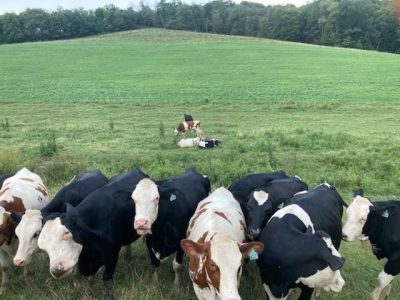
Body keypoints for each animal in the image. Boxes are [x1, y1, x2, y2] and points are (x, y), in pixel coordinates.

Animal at [37, 166, 149, 300]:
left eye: (67, 233)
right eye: (43, 246)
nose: (56, 270)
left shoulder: (112, 256)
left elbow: (107, 280)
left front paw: (108, 296)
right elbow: (90, 278)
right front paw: (88, 293)